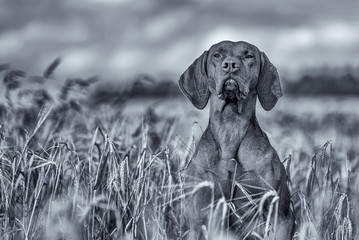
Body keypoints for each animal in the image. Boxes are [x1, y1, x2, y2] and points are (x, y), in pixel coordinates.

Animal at [180, 40, 296, 239]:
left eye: (249, 56)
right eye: (217, 55)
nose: (231, 65)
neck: (230, 128)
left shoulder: (281, 216)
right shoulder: (197, 219)